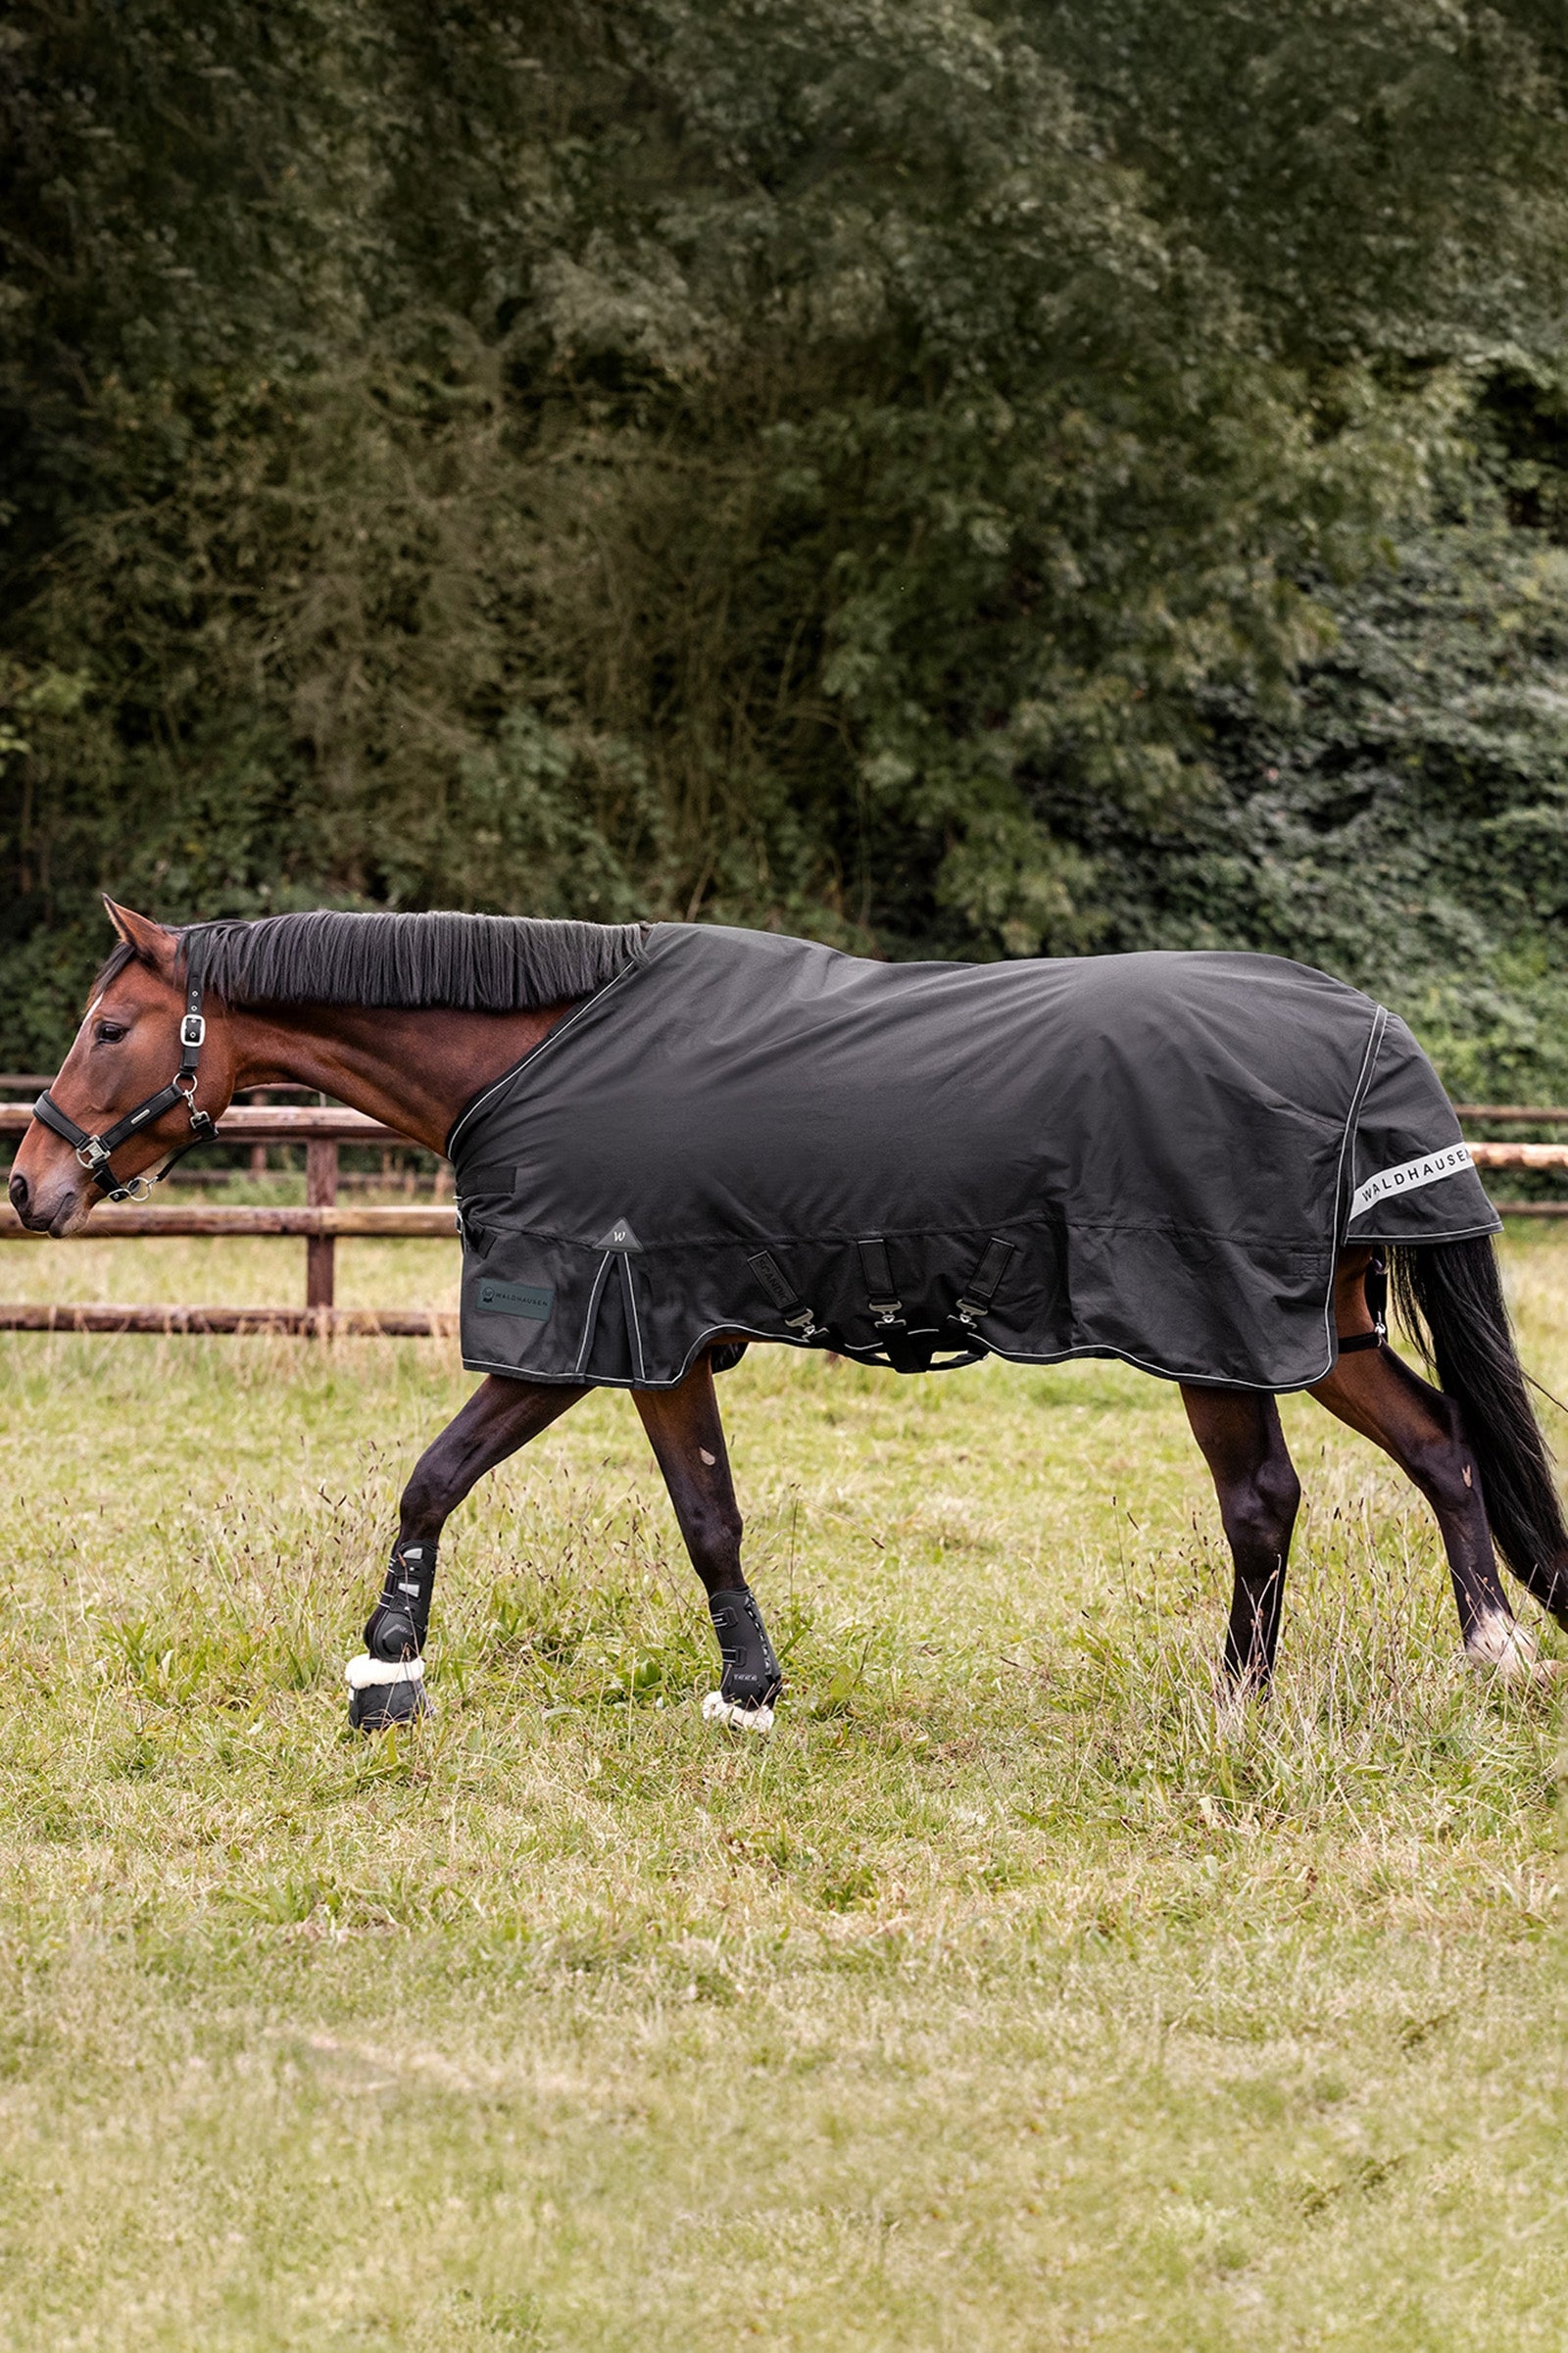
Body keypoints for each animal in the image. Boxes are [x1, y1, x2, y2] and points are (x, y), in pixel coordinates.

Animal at [10, 899, 1568, 1732]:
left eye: (106, 1029)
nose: (29, 1185)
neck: (542, 1052)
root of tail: (1366, 1029)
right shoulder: (663, 1343)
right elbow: (709, 1515)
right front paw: (748, 1688)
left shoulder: (584, 1332)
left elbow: (434, 1476)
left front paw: (385, 1670)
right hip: (1327, 1328)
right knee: (1441, 1447)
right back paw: (1491, 1653)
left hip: (1219, 1334)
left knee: (1262, 1502)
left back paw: (1237, 1702)